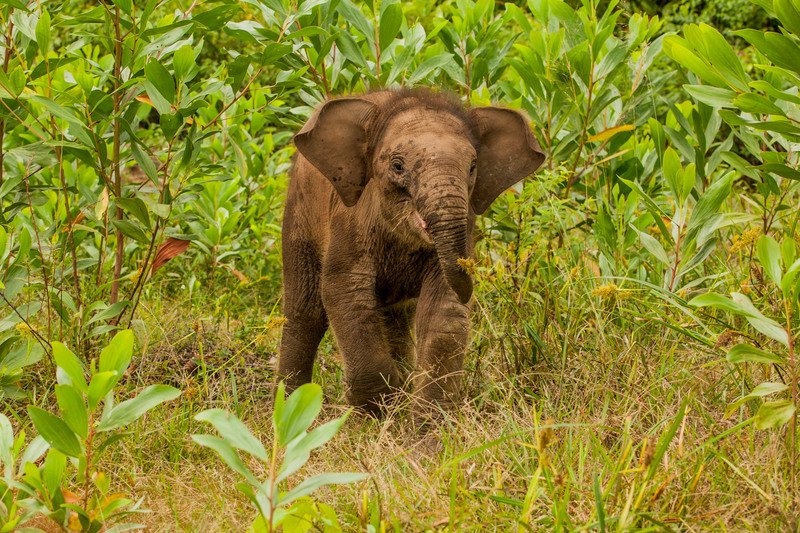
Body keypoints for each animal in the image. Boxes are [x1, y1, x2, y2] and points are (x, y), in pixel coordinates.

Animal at [277, 88, 544, 418]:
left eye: (472, 167)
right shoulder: (349, 221)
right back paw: (289, 408)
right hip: (299, 210)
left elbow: (443, 311)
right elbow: (344, 291)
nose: (471, 271)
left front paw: (425, 423)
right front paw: (377, 411)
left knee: (394, 316)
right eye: (397, 166)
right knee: (306, 311)